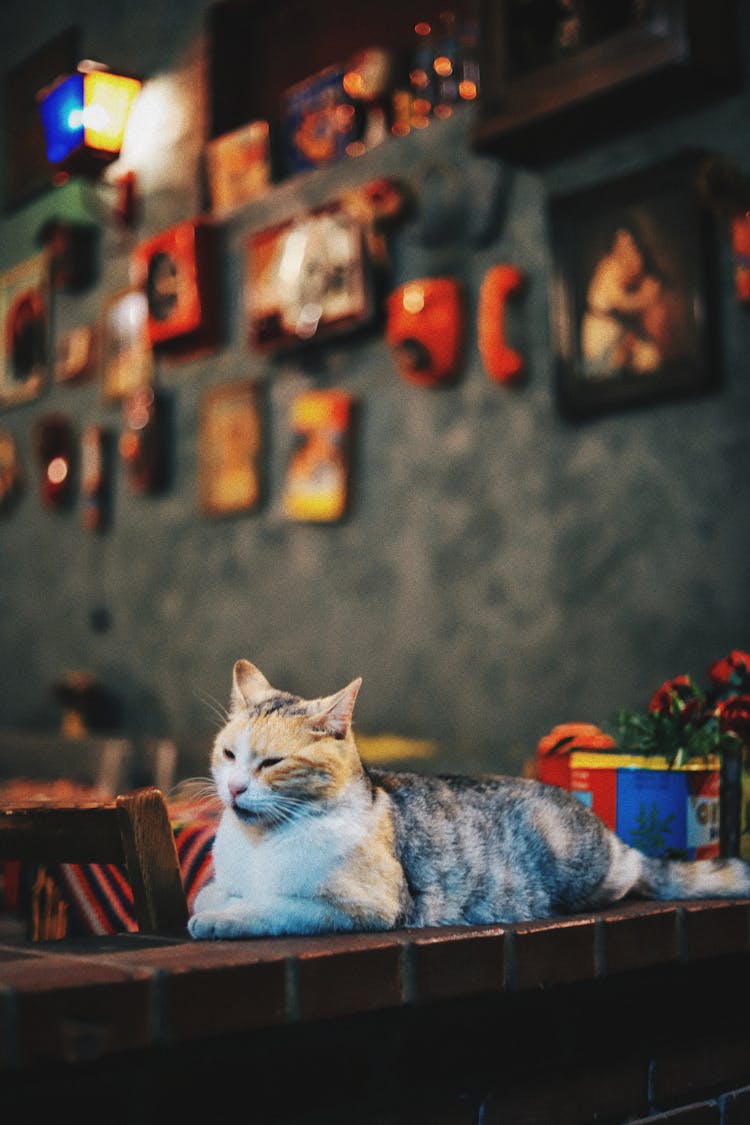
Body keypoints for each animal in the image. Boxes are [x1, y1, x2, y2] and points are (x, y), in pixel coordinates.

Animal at [191, 657, 750, 940]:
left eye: (271, 763)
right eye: (228, 754)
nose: (234, 787)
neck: (258, 845)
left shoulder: (365, 905)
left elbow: (271, 907)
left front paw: (220, 920)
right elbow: (209, 892)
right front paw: (219, 902)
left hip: (589, 869)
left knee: (636, 872)